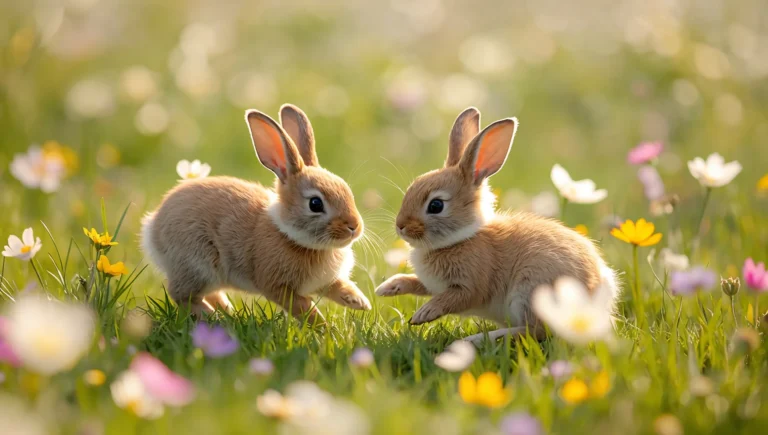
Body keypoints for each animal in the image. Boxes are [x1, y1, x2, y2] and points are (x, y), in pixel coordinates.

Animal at [141, 104, 371, 323]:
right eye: (315, 204)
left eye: (347, 190)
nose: (354, 226)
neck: (291, 236)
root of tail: (152, 227)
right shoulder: (276, 286)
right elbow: (303, 308)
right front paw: (322, 327)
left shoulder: (326, 282)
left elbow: (339, 286)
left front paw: (360, 302)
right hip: (198, 265)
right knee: (181, 294)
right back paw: (212, 316)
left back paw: (227, 312)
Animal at [375, 107, 620, 343]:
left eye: (436, 205)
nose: (400, 226)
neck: (461, 238)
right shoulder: (432, 284)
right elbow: (417, 283)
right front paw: (387, 288)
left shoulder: (471, 284)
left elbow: (455, 298)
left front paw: (423, 314)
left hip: (532, 292)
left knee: (536, 331)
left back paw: (481, 339)